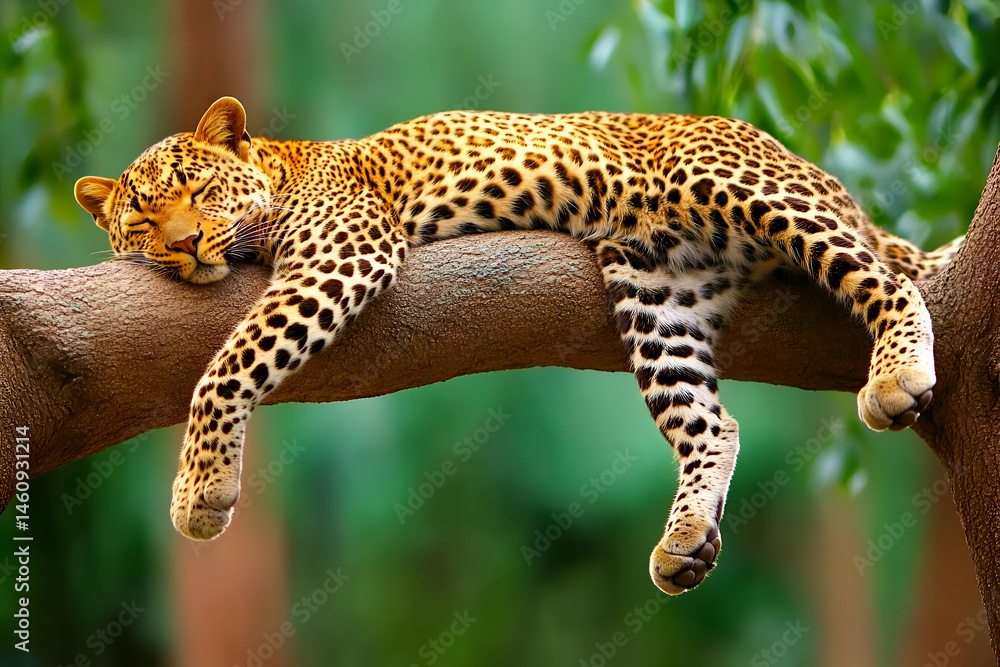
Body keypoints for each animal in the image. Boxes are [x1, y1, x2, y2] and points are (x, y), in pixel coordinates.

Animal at [75, 97, 962, 595]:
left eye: (197, 188)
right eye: (142, 218)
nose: (183, 245)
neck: (283, 165)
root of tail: (808, 165)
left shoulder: (348, 250)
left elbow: (227, 365)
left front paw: (201, 489)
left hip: (736, 185)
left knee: (888, 278)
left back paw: (897, 372)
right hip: (653, 287)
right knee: (713, 422)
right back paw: (683, 539)